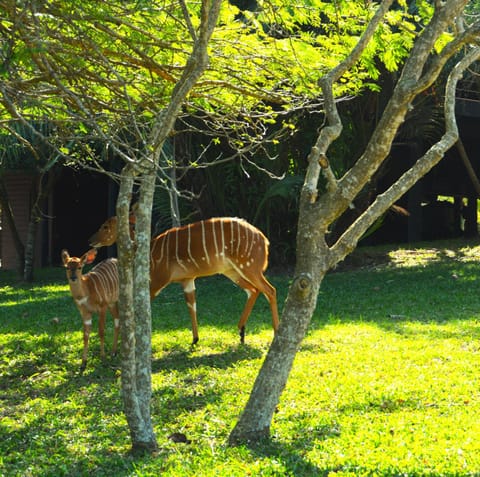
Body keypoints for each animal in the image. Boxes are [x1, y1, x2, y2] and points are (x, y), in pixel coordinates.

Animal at [88, 215, 280, 342]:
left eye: (105, 227)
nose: (91, 240)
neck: (150, 251)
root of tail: (264, 240)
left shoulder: (158, 280)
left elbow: (142, 306)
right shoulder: (187, 280)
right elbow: (191, 306)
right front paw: (195, 339)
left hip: (249, 267)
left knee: (270, 290)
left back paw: (277, 330)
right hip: (231, 271)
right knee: (253, 290)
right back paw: (241, 331)